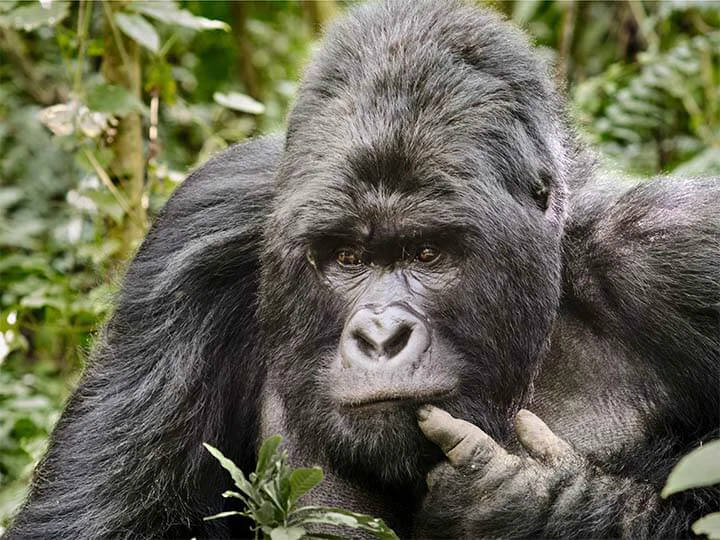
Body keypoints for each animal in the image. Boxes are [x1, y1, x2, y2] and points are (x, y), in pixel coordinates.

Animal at [7, 1, 720, 540]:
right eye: (347, 259)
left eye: (428, 254)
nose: (381, 337)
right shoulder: (197, 241)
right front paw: (539, 502)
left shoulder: (683, 253)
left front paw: (540, 506)